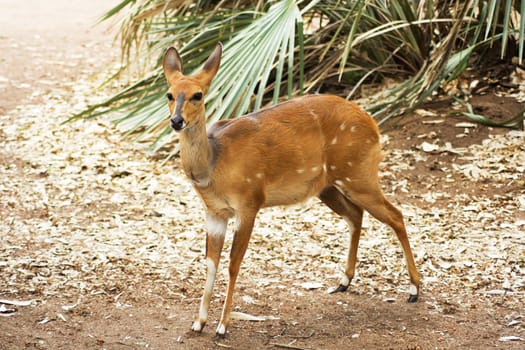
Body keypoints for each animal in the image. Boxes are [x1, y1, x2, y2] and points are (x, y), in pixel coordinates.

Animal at [162, 43, 420, 336]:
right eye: (170, 94)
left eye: (198, 95)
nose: (176, 120)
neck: (214, 165)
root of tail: (373, 123)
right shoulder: (215, 212)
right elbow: (210, 263)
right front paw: (198, 323)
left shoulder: (249, 203)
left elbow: (233, 264)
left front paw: (222, 326)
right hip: (328, 187)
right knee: (356, 215)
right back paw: (343, 281)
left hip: (359, 176)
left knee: (396, 215)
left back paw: (414, 290)